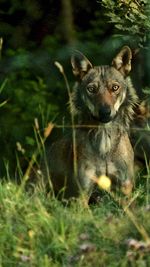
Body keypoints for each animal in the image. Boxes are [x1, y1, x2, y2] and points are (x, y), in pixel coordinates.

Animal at [42, 46, 138, 201]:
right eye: (91, 89)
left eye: (115, 88)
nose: (105, 112)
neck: (104, 143)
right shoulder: (83, 192)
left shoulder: (125, 189)